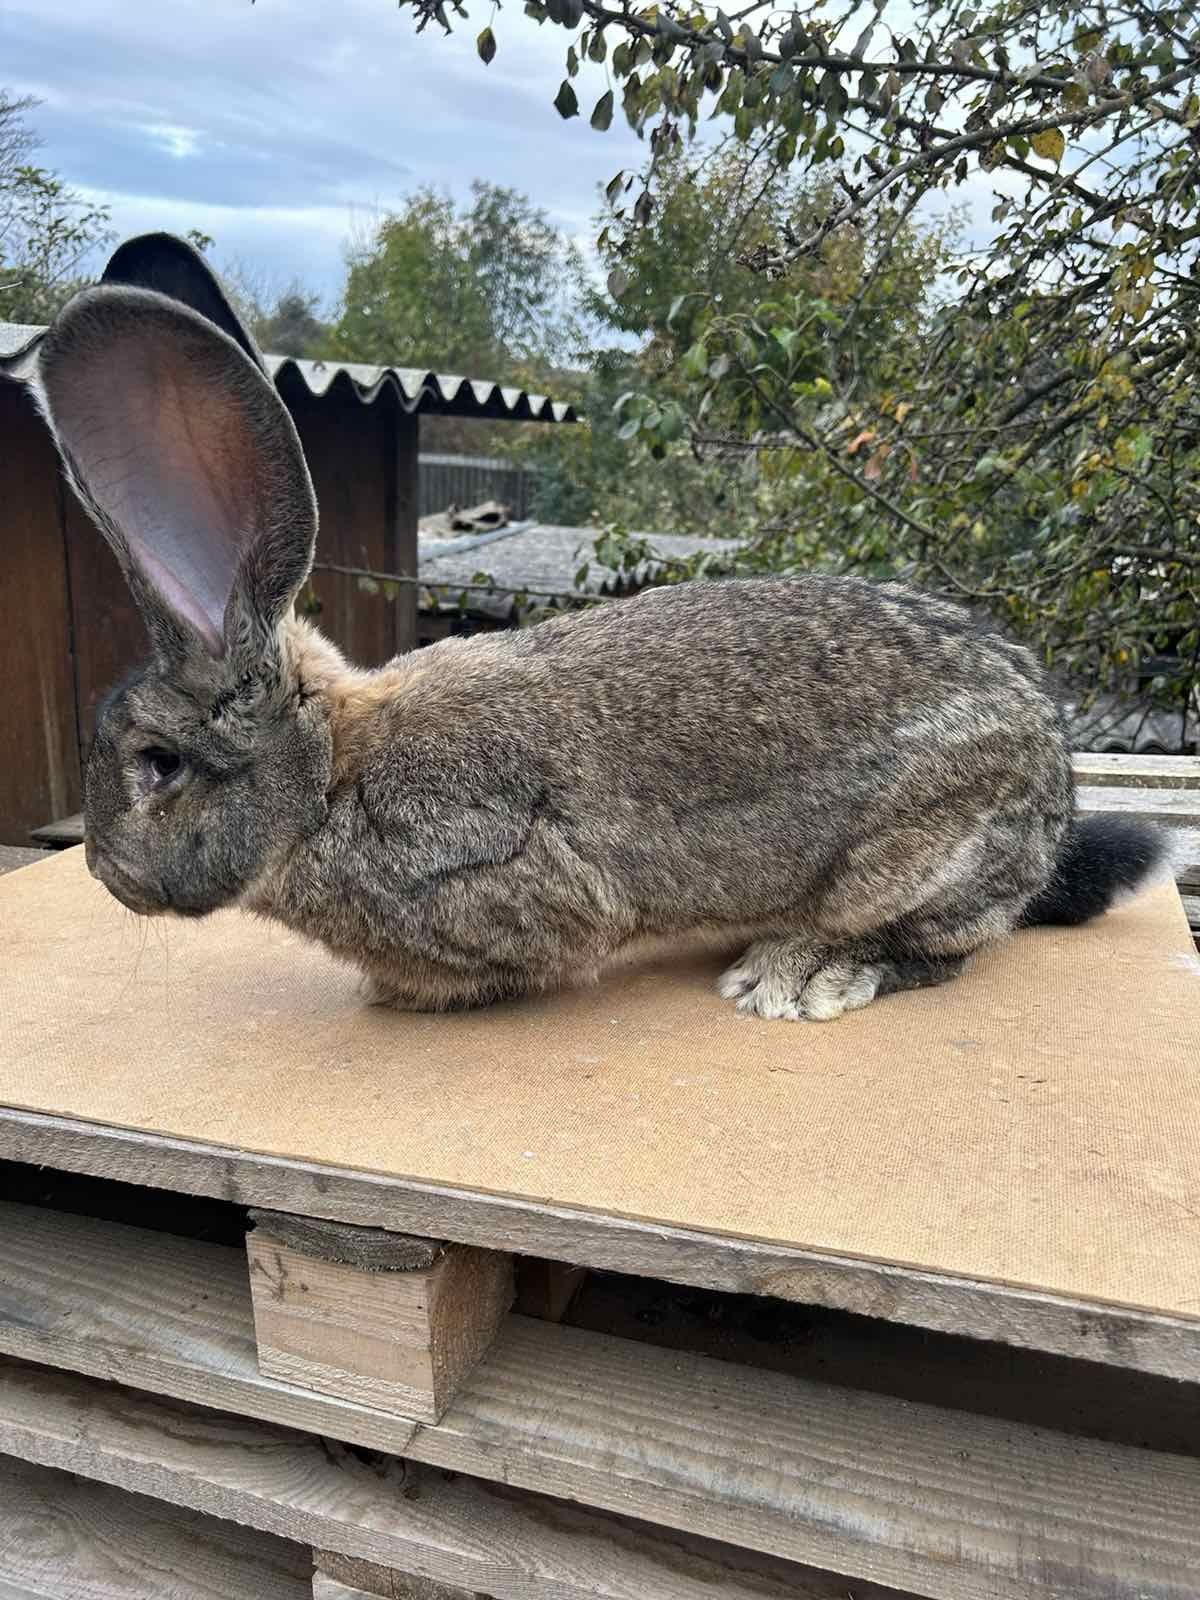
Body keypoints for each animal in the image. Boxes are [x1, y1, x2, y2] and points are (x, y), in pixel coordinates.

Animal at [35, 232, 1164, 1017]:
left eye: (158, 765)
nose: (103, 875)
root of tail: (1052, 783)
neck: (326, 779)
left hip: (921, 857)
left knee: (949, 945)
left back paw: (800, 975)